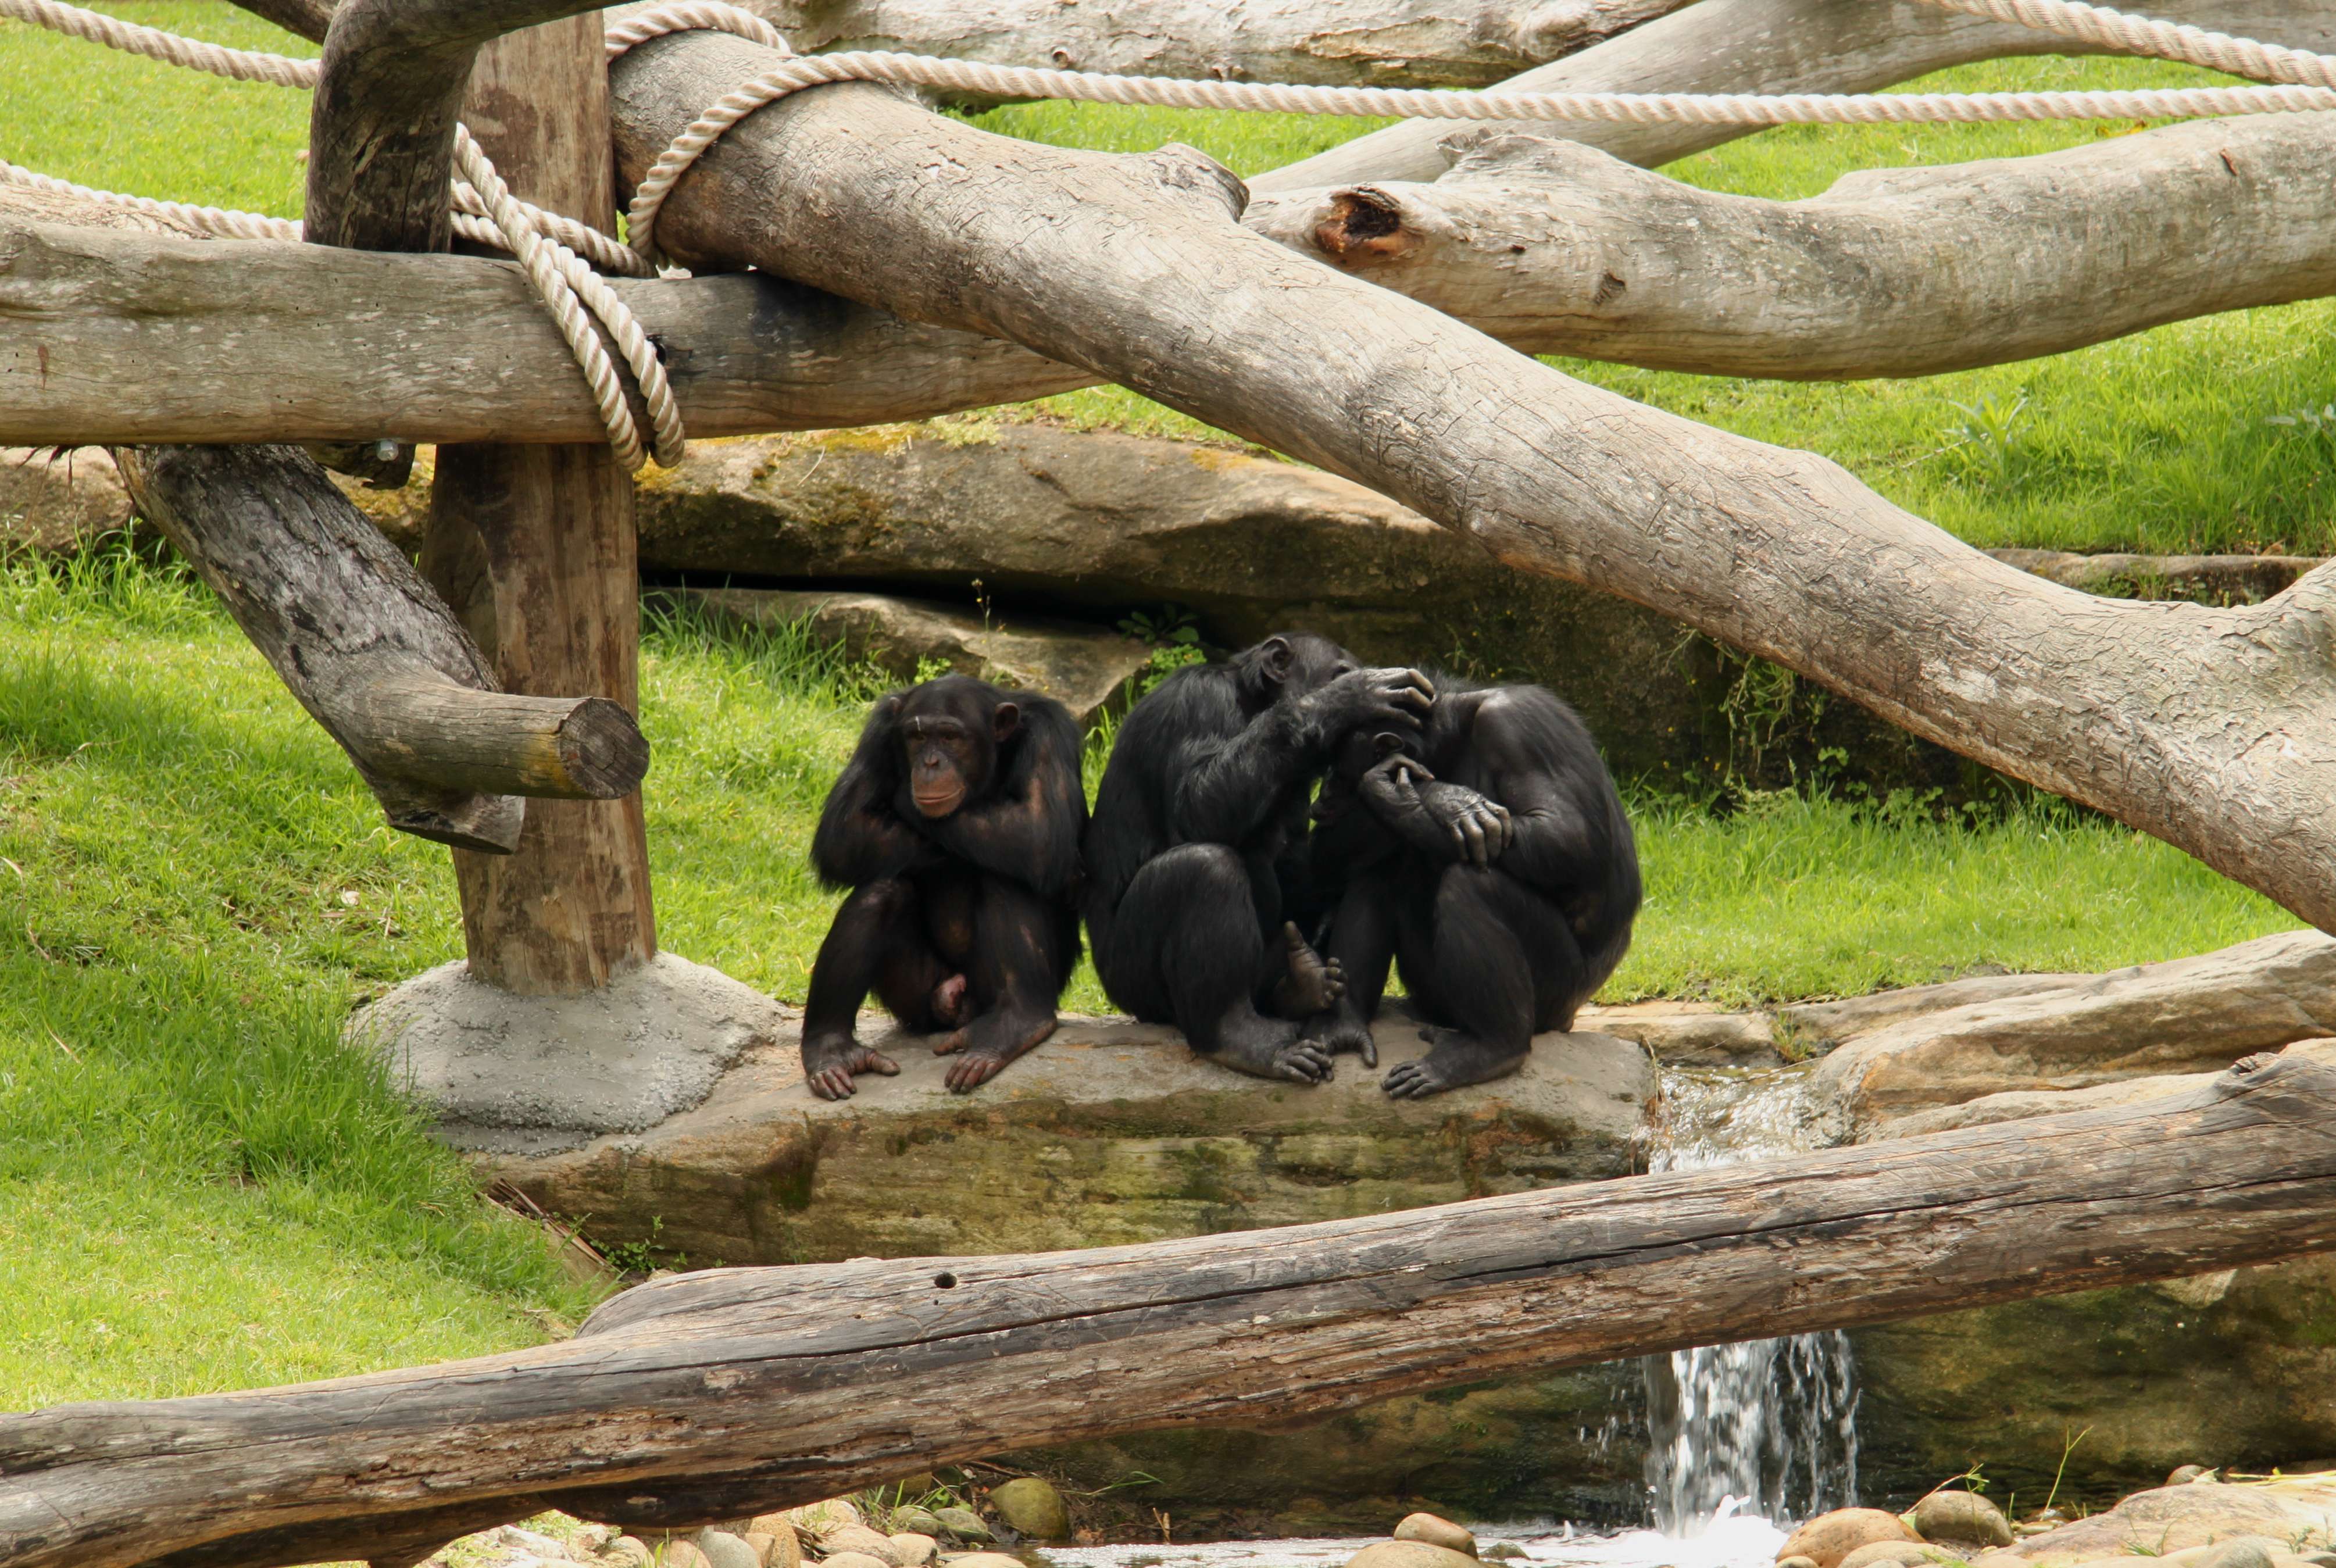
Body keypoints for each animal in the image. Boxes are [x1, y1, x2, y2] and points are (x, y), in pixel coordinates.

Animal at [803, 677, 1084, 1103]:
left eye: (951, 737)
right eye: (918, 737)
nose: (931, 763)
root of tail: (957, 1005)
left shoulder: (1051, 734)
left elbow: (1040, 832)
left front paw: (904, 797)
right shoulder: (880, 730)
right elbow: (844, 831)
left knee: (1008, 872)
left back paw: (1018, 1023)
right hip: (921, 1000)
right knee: (881, 892)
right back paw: (831, 1048)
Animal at [1079, 631, 1439, 1084]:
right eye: (1339, 673)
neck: (1250, 704)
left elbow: (1301, 861)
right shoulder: (1198, 701)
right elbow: (1196, 806)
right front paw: (1350, 697)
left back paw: (1302, 985)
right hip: (1134, 985)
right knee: (1204, 868)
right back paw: (1240, 1038)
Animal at [1299, 677, 1644, 1103]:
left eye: (1337, 769)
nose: (1323, 794)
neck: (1453, 742)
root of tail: (1570, 1016)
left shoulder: (1518, 727)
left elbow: (1569, 836)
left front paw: (1421, 796)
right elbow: (1321, 855)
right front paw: (1443, 800)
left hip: (1556, 993)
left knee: (1474, 884)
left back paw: (1489, 1050)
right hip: (1432, 993)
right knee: (1379, 871)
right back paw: (1342, 1026)